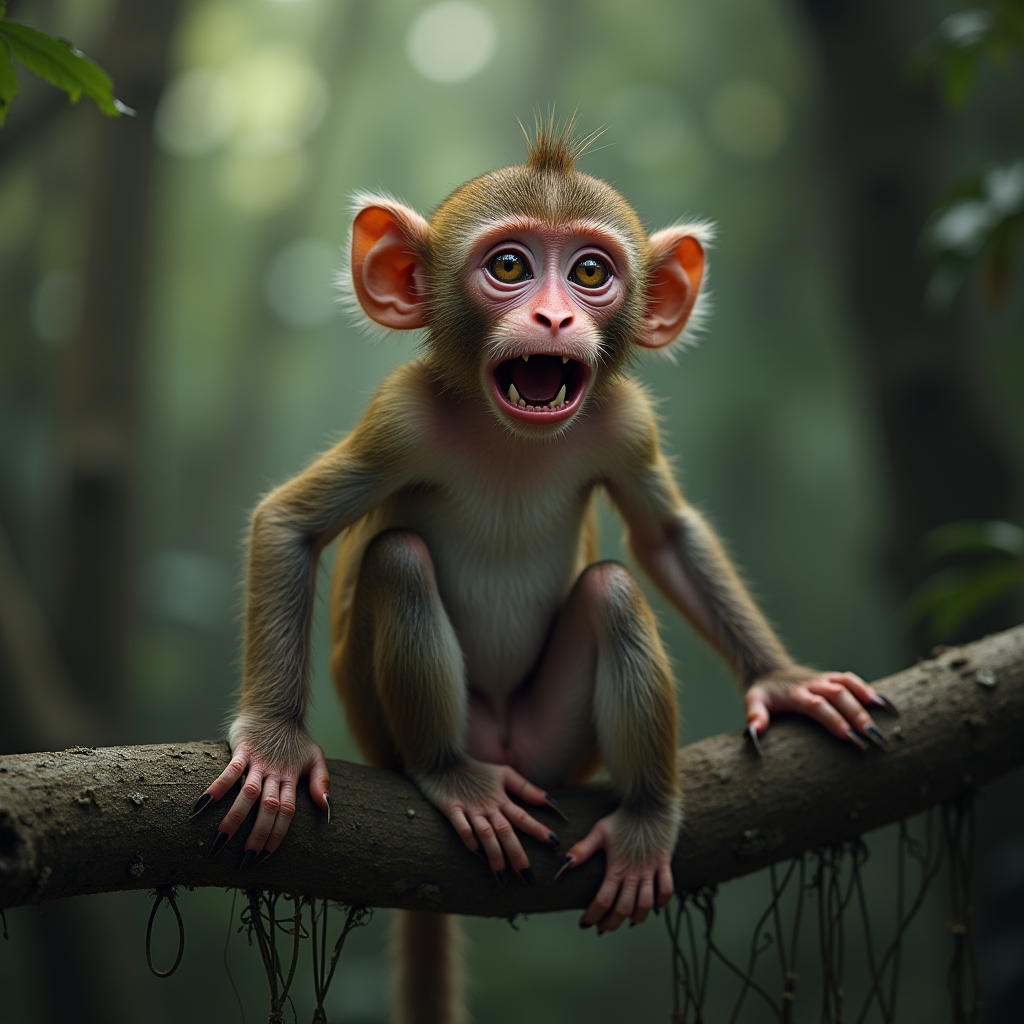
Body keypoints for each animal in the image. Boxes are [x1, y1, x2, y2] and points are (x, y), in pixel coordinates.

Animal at [193, 117, 897, 1024]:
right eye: (510, 267)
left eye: (591, 272)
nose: (556, 316)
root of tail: (504, 749)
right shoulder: (400, 416)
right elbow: (290, 524)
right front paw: (278, 751)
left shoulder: (625, 422)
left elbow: (665, 537)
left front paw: (783, 682)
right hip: (407, 732)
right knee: (399, 561)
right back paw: (453, 776)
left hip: (556, 748)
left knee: (613, 589)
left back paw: (645, 818)